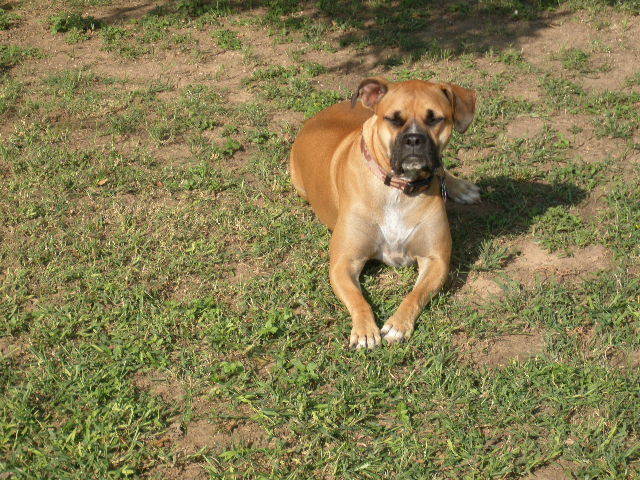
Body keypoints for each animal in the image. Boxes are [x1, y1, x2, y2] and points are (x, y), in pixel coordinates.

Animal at [290, 77, 478, 348]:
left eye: (435, 119)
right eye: (394, 119)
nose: (414, 139)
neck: (398, 189)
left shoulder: (436, 259)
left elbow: (415, 295)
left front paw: (398, 325)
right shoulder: (344, 262)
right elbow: (357, 299)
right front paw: (365, 331)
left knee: (441, 169)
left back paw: (461, 188)